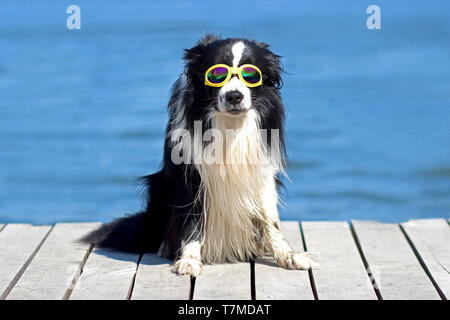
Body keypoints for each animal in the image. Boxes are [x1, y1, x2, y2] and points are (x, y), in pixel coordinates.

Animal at [84, 34, 316, 276]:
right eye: (217, 75)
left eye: (251, 75)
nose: (234, 96)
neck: (231, 125)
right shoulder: (192, 175)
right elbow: (192, 220)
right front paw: (189, 260)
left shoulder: (261, 172)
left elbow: (270, 219)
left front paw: (288, 256)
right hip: (158, 187)